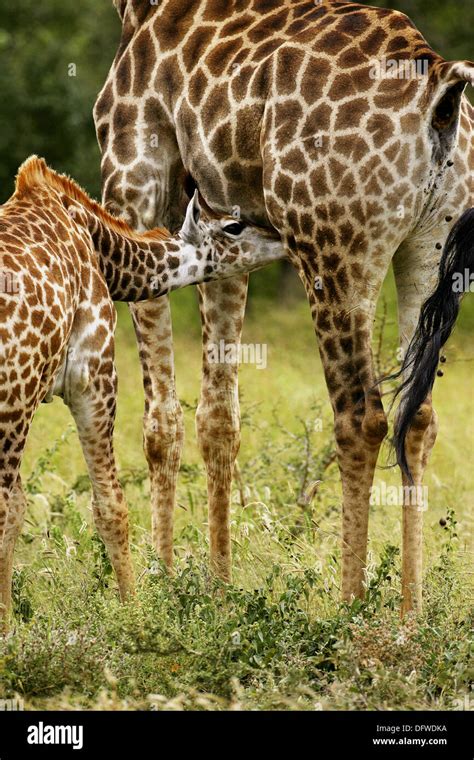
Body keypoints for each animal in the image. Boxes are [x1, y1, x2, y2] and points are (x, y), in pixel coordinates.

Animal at [0, 155, 284, 625]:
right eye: (233, 227)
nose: (284, 238)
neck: (99, 247)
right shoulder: (91, 372)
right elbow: (110, 506)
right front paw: (133, 616)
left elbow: (24, 508)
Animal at [94, 0, 474, 613]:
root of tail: (441, 87)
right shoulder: (222, 212)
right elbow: (218, 415)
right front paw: (216, 588)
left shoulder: (135, 183)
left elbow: (160, 421)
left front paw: (160, 587)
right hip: (431, 247)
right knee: (417, 416)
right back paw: (410, 614)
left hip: (331, 248)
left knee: (361, 417)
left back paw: (349, 609)